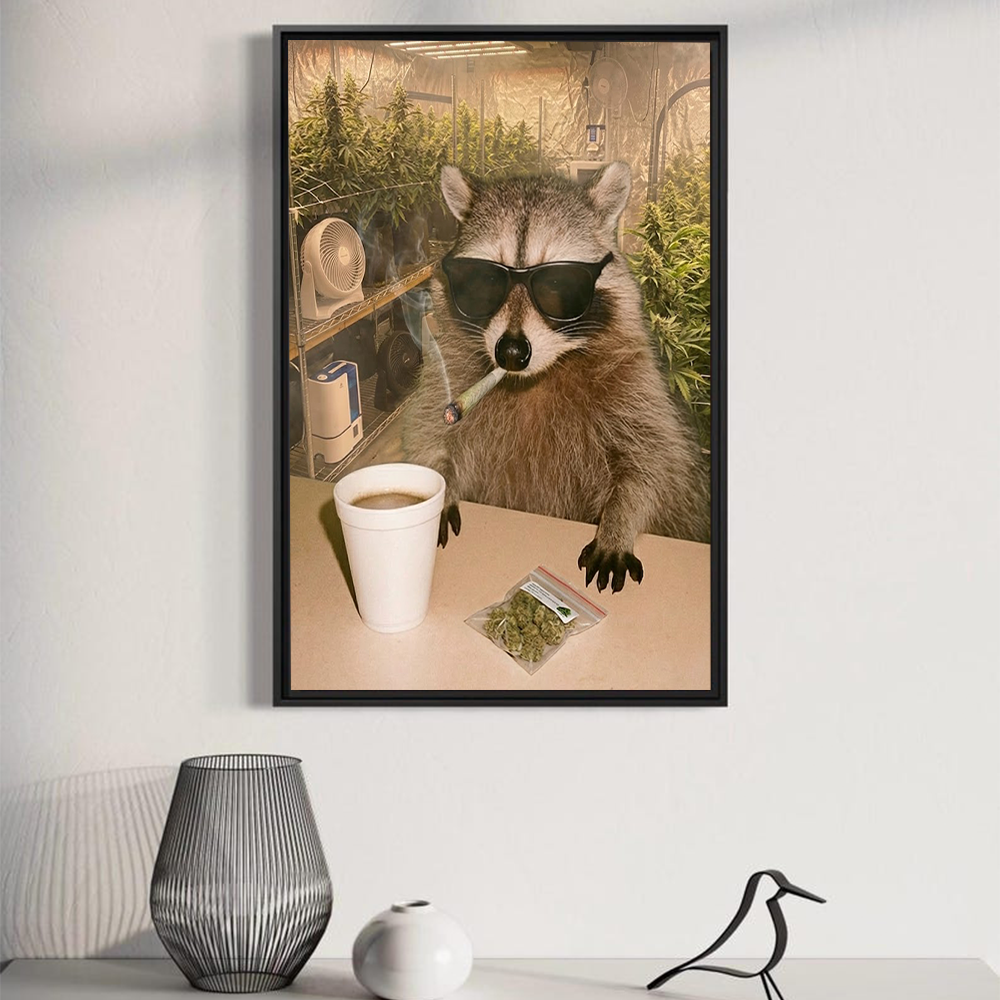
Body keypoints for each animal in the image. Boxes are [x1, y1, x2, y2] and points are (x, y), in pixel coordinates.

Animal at [402, 162, 710, 593]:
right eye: (485, 281)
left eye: (557, 284)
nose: (511, 353)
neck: (533, 379)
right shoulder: (449, 370)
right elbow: (427, 434)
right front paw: (438, 486)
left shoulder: (635, 384)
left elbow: (656, 465)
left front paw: (619, 520)